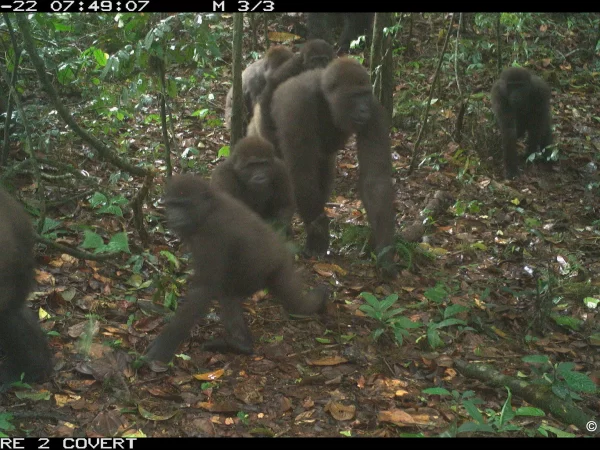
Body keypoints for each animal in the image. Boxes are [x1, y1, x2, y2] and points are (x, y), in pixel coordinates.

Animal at [145, 174, 328, 364]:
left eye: (183, 205)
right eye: (173, 205)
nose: (174, 216)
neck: (208, 209)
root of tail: (283, 256)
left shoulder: (212, 235)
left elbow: (204, 290)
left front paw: (165, 344)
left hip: (261, 272)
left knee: (228, 296)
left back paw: (241, 344)